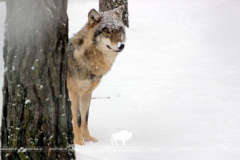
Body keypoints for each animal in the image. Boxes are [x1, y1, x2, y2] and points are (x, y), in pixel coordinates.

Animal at [66, 5, 126, 145]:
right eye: (107, 31)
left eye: (119, 30)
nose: (121, 45)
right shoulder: (74, 93)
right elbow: (77, 119)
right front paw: (78, 142)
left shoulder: (87, 94)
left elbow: (85, 118)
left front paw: (88, 138)